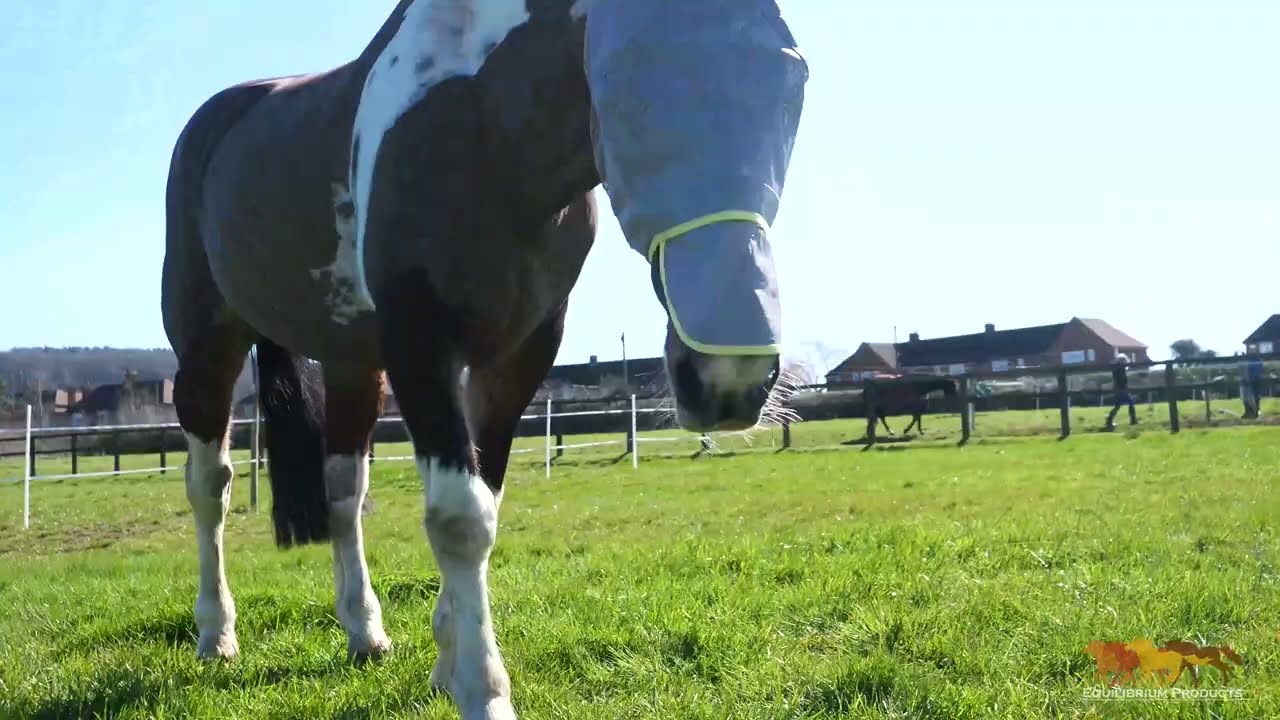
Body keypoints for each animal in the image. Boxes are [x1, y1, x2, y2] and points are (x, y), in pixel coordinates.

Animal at [160, 1, 807, 718]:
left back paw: (364, 632)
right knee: (209, 488)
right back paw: (216, 635)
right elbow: (459, 518)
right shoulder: (420, 345)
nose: (731, 377)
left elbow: (484, 499)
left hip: (354, 365)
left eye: (792, 82)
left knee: (343, 492)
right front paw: (482, 688)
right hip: (207, 348)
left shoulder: (519, 356)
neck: (487, 126)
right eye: (623, 90)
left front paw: (446, 660)